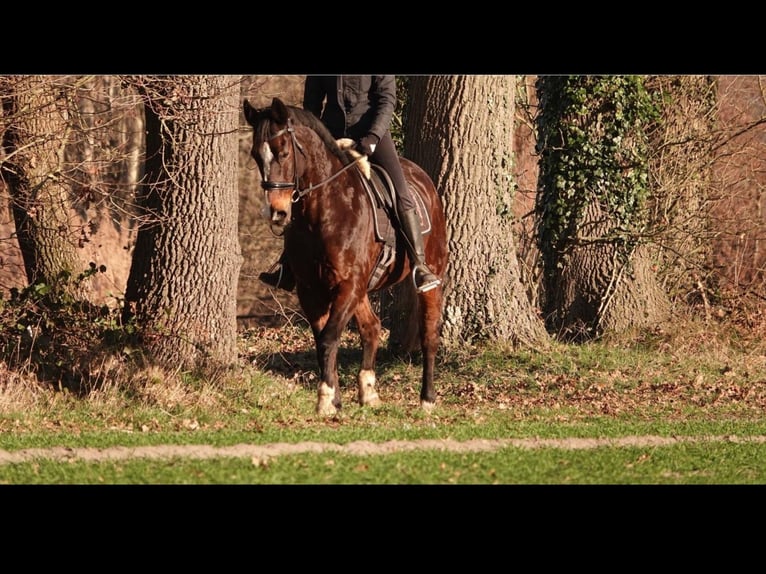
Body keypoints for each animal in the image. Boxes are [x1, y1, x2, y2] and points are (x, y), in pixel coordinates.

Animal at [243, 97, 448, 416]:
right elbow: (323, 340)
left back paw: (427, 399)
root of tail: (423, 179)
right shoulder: (312, 289)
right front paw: (335, 398)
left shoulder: (348, 285)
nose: (276, 213)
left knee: (428, 335)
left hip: (429, 275)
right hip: (361, 287)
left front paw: (327, 399)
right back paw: (369, 392)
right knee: (372, 328)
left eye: (284, 152)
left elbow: (329, 338)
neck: (323, 212)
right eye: (255, 155)